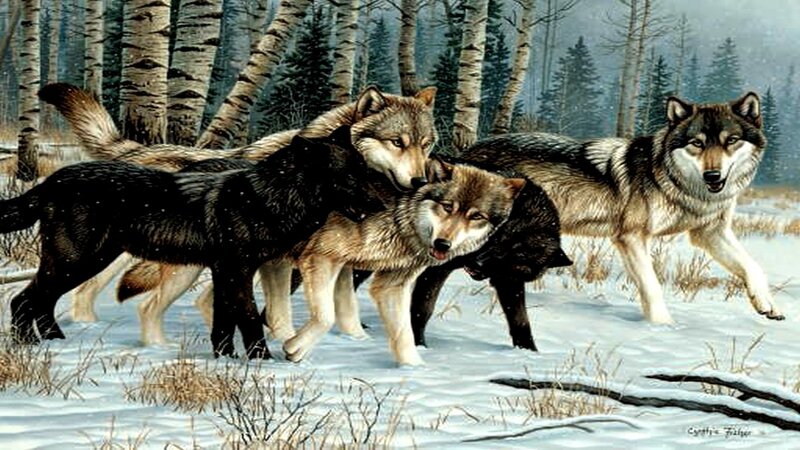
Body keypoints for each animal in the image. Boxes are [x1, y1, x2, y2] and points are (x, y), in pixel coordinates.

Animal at [2, 127, 383, 359]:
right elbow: (248, 318)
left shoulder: (224, 272)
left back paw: (53, 342)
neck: (268, 199)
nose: (381, 206)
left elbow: (223, 323)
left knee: (41, 301)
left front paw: (226, 359)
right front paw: (262, 360)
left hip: (84, 262)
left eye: (365, 172)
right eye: (350, 177)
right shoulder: (237, 270)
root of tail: (51, 180)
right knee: (24, 300)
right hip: (76, 261)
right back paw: (28, 346)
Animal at [462, 92, 783, 324]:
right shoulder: (631, 237)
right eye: (697, 143)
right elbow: (652, 286)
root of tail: (466, 151)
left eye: (731, 141)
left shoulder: (710, 233)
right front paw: (664, 328)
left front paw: (768, 305)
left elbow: (752, 267)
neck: (682, 187)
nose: (713, 176)